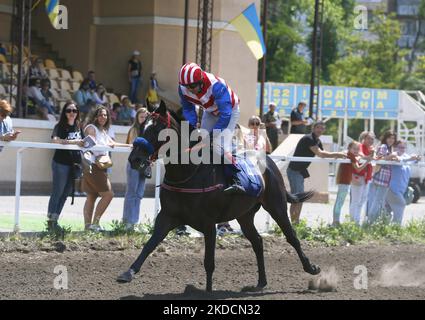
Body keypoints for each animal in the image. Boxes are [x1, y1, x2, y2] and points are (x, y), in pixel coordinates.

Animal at [116, 100, 318, 292]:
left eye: (156, 128)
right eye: (142, 126)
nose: (135, 159)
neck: (188, 172)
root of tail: (268, 160)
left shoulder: (208, 222)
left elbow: (209, 262)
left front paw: (208, 291)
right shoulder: (167, 216)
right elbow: (150, 244)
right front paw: (128, 273)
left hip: (276, 205)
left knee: (291, 237)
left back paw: (311, 268)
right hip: (244, 215)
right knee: (257, 242)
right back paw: (260, 282)